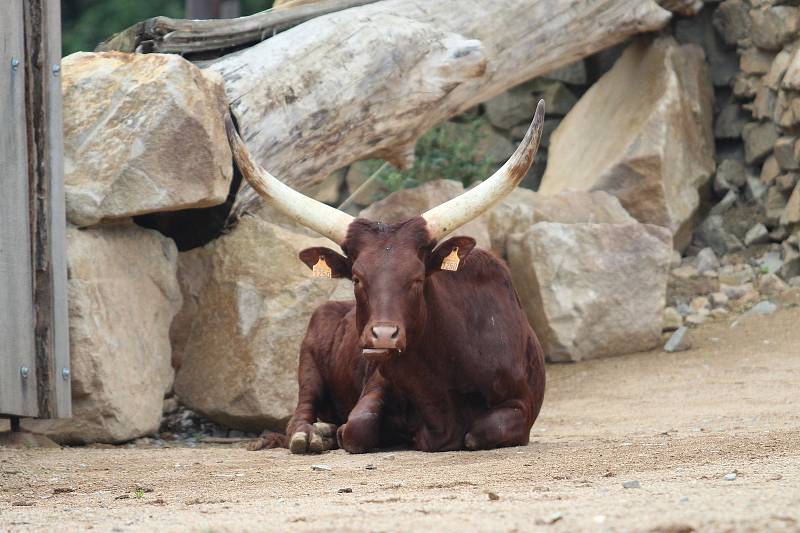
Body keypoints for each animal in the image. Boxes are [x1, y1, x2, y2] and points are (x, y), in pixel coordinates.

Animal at [225, 102, 552, 456]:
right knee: (300, 412)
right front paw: (339, 433)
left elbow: (481, 431)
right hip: (308, 360)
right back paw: (311, 435)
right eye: (356, 278)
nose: (383, 336)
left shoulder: (521, 406)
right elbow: (356, 427)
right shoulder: (376, 382)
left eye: (417, 279)